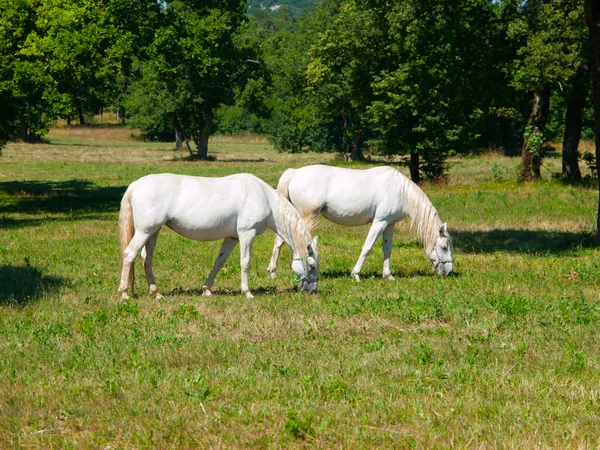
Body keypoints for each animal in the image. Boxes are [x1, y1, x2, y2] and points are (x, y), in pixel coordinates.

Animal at [119, 172, 322, 298]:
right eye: (311, 265)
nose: (312, 290)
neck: (265, 198)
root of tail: (135, 185)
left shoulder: (232, 238)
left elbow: (219, 262)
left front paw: (207, 290)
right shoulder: (247, 234)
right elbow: (245, 263)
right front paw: (247, 292)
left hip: (153, 232)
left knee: (146, 259)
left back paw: (156, 293)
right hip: (145, 231)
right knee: (129, 255)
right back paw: (124, 293)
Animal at [266, 163, 450, 280]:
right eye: (444, 247)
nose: (448, 271)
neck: (400, 191)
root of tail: (295, 172)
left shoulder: (389, 224)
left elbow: (387, 249)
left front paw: (388, 275)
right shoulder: (379, 222)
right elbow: (367, 247)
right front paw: (356, 274)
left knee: (279, 241)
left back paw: (273, 273)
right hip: (306, 217)